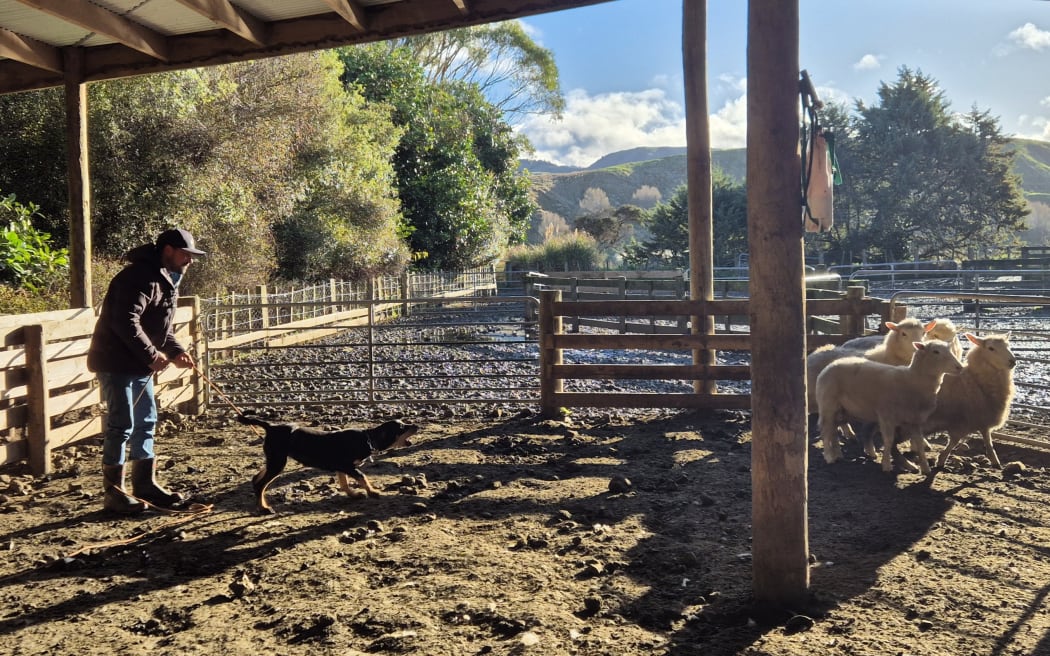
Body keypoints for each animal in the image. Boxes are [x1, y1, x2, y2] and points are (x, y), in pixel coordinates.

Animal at [238, 413, 417, 512]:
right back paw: (264, 508)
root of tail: (270, 426)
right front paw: (372, 492)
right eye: (402, 427)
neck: (368, 439)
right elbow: (362, 477)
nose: (417, 425)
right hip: (278, 462)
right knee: (261, 484)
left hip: (274, 459)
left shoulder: (341, 468)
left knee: (256, 479)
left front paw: (354, 495)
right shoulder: (347, 466)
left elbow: (344, 484)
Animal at [814, 340, 961, 472]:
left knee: (833, 429)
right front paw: (886, 465)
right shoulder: (886, 415)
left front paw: (925, 468)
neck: (913, 380)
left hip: (841, 410)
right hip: (828, 404)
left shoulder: (914, 420)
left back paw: (838, 454)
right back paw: (829, 457)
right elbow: (889, 440)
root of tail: (829, 366)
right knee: (825, 430)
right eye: (936, 351)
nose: (959, 367)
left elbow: (919, 443)